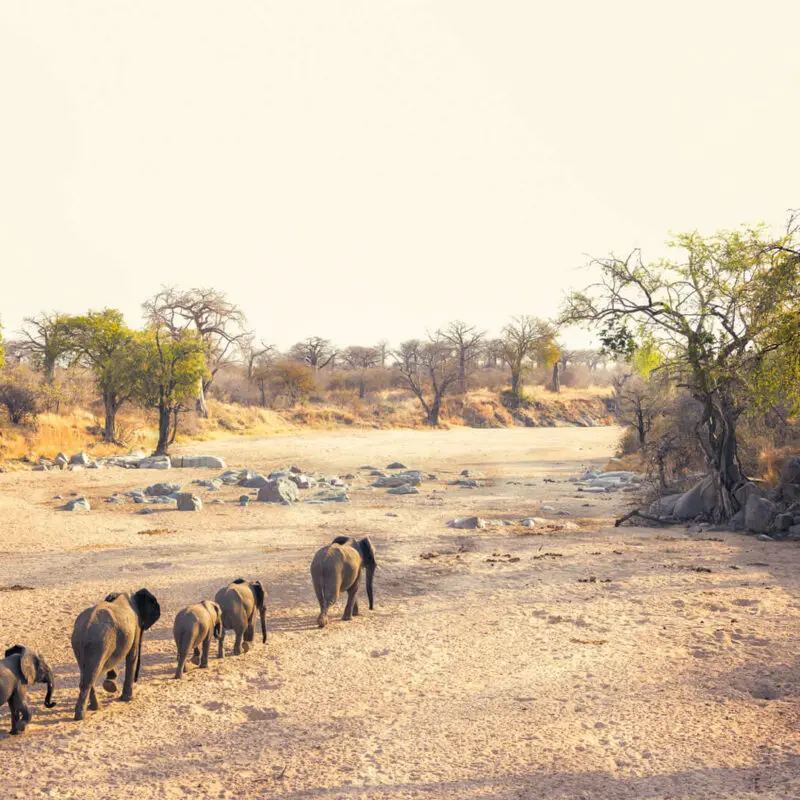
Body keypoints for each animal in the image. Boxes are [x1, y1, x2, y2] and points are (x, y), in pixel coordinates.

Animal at [71, 588, 161, 721]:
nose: (136, 679)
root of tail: (86, 627)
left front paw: (110, 685)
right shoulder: (136, 625)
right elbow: (132, 655)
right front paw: (127, 699)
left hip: (81, 645)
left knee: (86, 673)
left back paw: (94, 708)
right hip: (99, 643)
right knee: (90, 676)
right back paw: (82, 715)